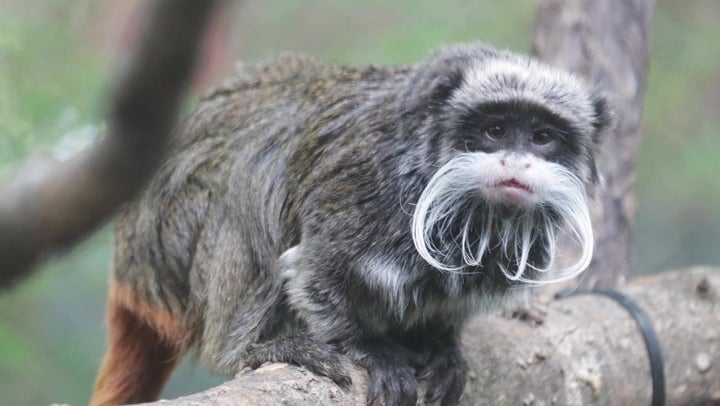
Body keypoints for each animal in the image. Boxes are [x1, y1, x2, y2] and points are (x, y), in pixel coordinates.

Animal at [90, 42, 611, 406]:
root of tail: (127, 265)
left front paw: (440, 343)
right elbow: (313, 273)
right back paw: (251, 349)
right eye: (495, 130)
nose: (516, 162)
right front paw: (371, 348)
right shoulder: (365, 193)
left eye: (542, 137)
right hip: (167, 242)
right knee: (250, 179)